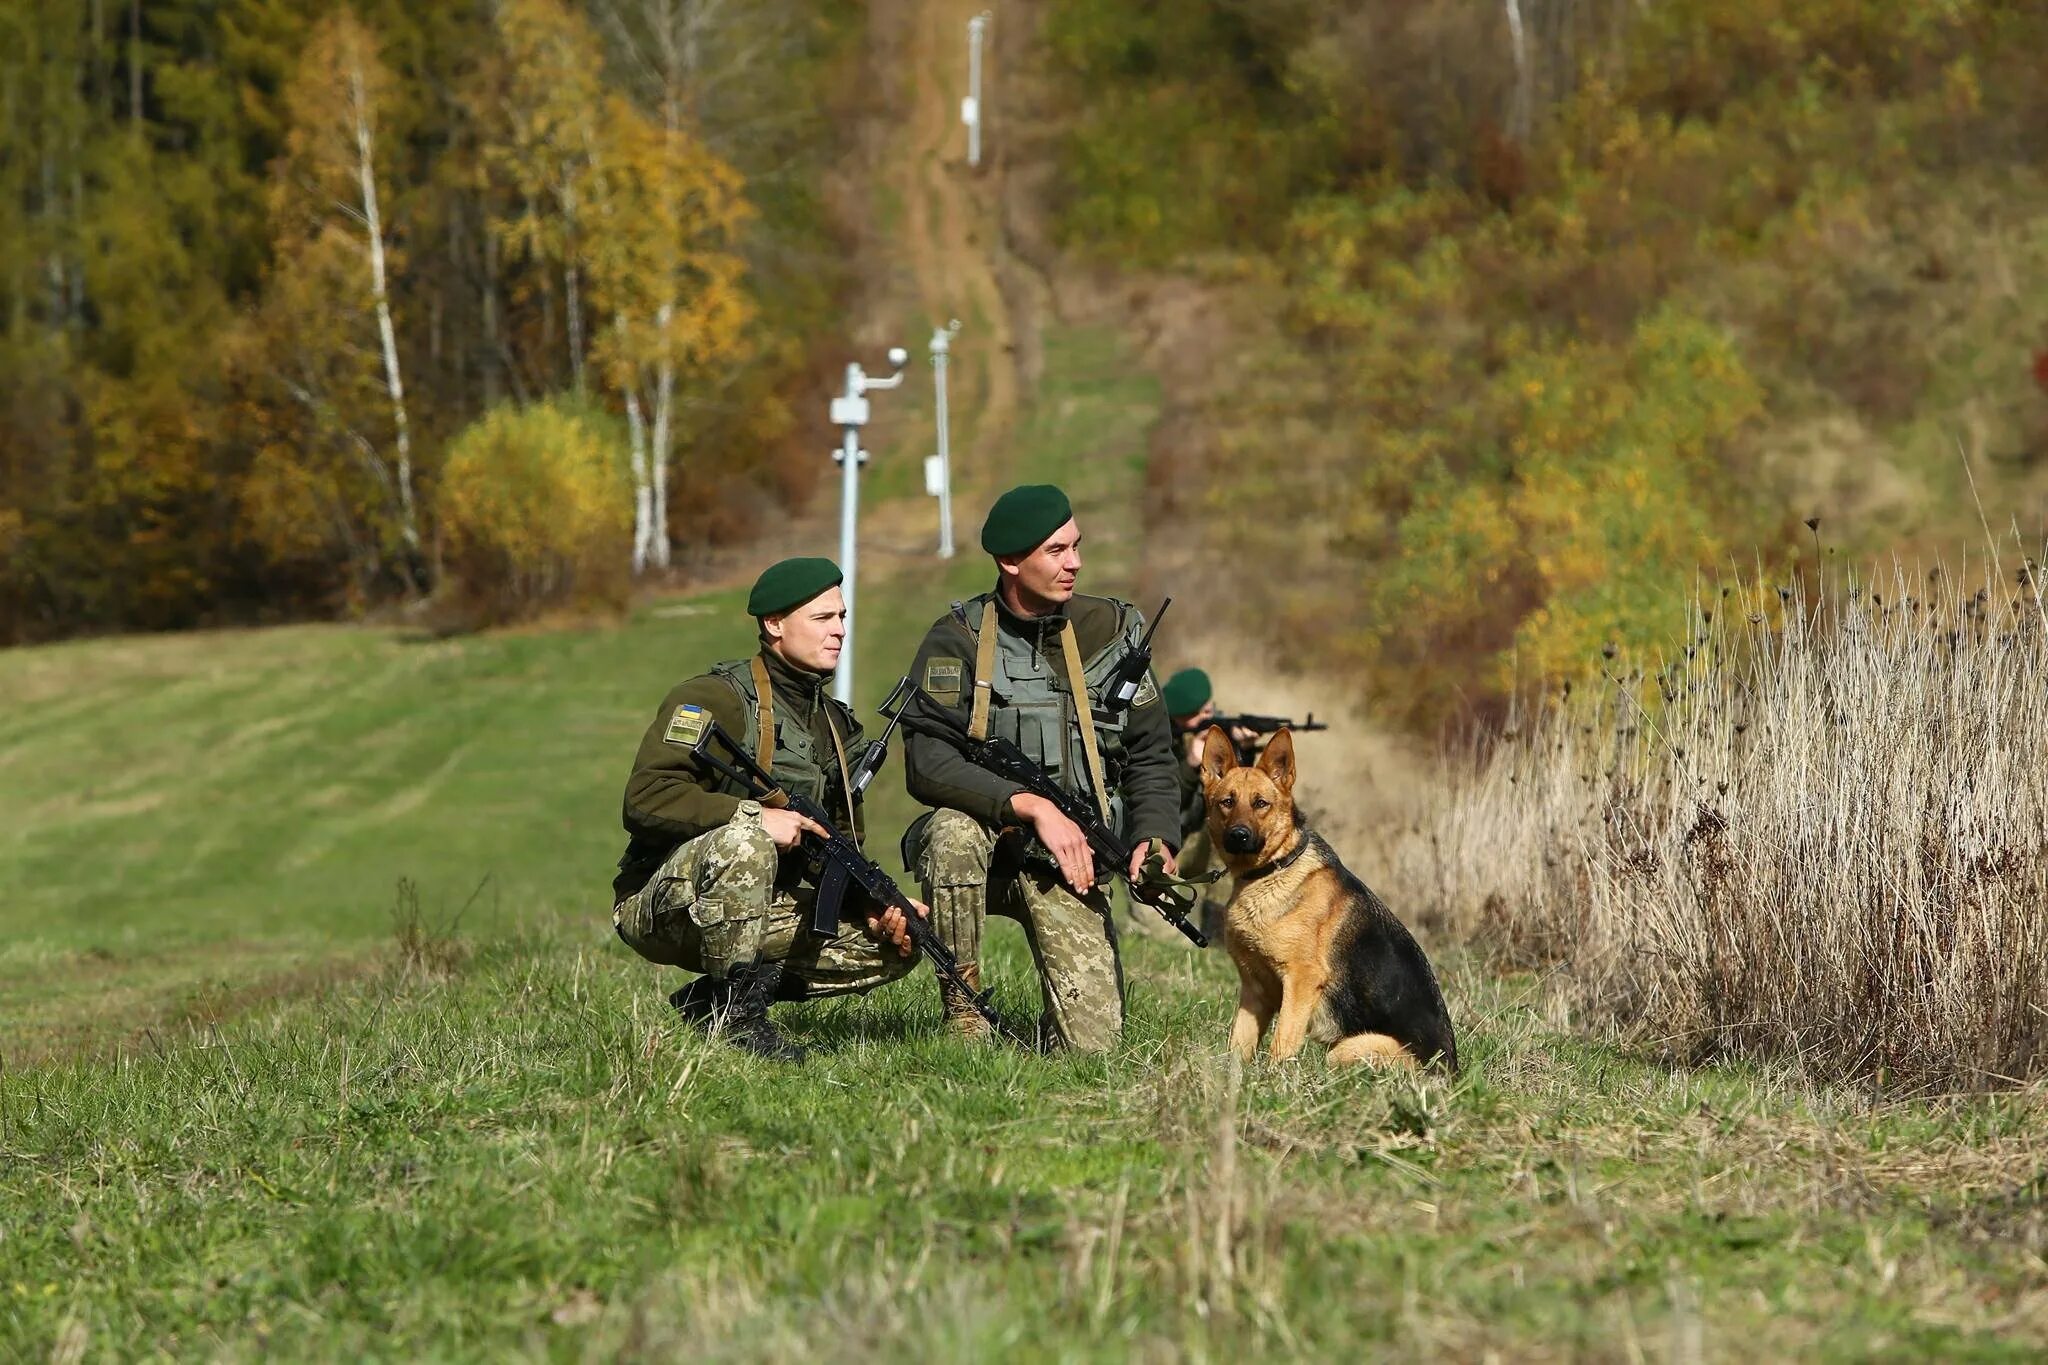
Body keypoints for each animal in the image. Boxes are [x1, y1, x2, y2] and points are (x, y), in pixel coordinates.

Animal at [1196, 724, 1458, 1080]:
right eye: (1227, 802)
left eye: (1261, 803)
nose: (1239, 835)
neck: (1273, 870)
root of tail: (1451, 1073)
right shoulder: (1255, 990)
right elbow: (1239, 1042)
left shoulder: (1301, 982)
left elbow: (1282, 1042)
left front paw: (1274, 1080)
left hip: (1348, 1049)